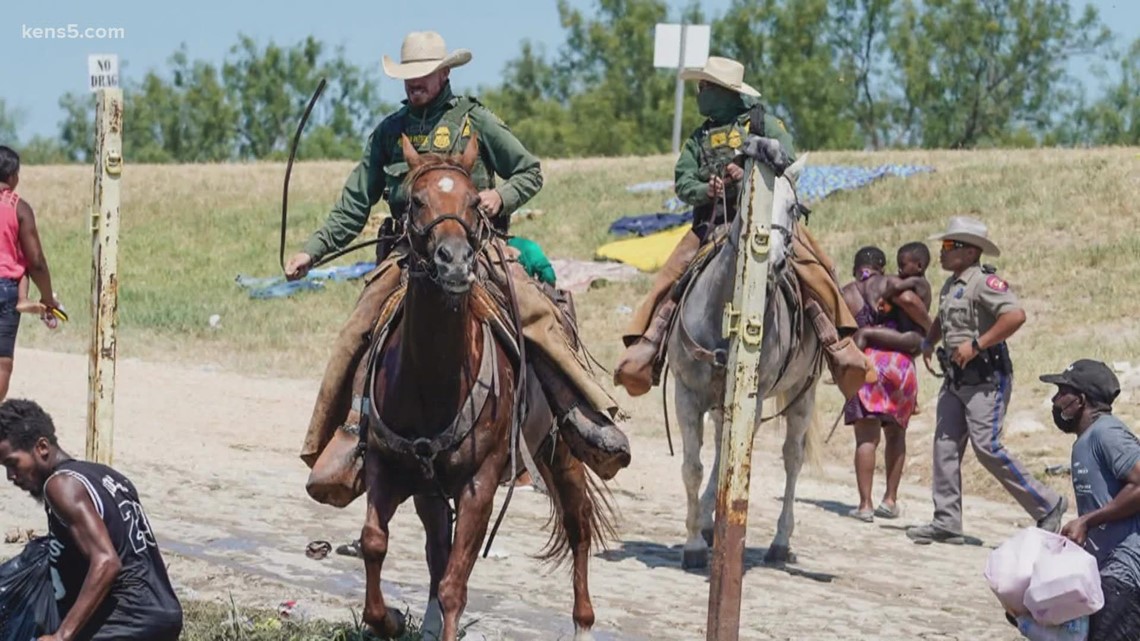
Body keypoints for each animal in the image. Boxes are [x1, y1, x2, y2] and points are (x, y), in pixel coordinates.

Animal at [362, 132, 615, 634]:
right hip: (431, 491)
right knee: (436, 548)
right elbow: (375, 544)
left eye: (474, 201)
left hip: (561, 452)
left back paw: (583, 623)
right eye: (416, 200)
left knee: (577, 524)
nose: (455, 262)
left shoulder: (480, 482)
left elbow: (454, 584)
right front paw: (390, 621)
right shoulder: (388, 465)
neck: (432, 381)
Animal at [665, 155, 825, 568]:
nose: (775, 262)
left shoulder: (753, 399)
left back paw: (779, 542)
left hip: (803, 394)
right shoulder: (687, 393)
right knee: (721, 450)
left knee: (791, 459)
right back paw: (709, 522)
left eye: (794, 208)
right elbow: (693, 468)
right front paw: (693, 543)